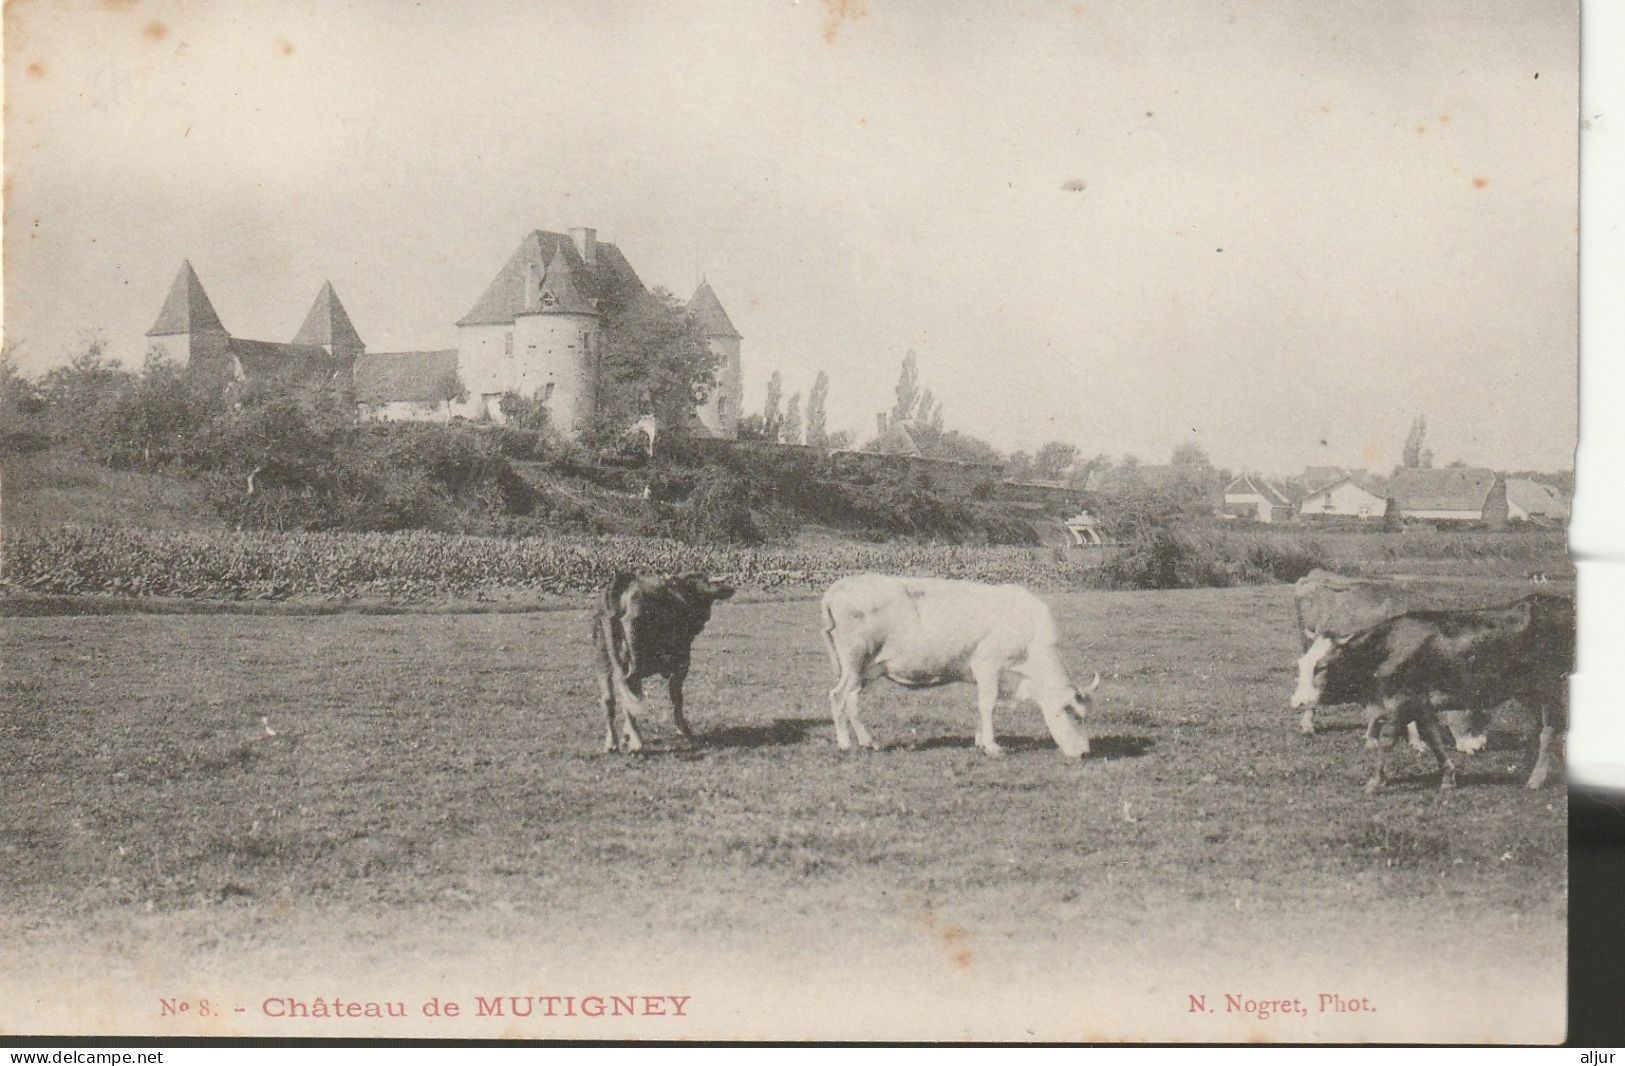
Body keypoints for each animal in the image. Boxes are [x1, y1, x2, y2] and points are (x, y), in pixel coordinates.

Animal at [594, 572, 734, 754]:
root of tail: (622, 581)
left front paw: (626, 735)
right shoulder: (682, 663)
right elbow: (677, 698)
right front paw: (685, 732)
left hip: (603, 657)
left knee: (609, 697)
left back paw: (613, 743)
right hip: (633, 658)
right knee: (627, 687)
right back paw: (637, 743)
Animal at [819, 575, 1098, 757]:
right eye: (1071, 712)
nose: (1085, 753)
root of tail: (838, 587)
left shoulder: (980, 673)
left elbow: (980, 705)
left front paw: (980, 741)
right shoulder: (989, 664)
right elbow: (988, 704)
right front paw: (993, 746)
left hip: (865, 668)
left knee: (852, 701)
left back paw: (868, 742)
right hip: (854, 659)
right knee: (837, 696)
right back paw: (844, 744)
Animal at [1287, 594, 1566, 796]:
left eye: (1322, 666)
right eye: (1302, 663)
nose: (1297, 702)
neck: (1388, 648)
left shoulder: (1402, 701)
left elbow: (1388, 740)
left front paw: (1375, 782)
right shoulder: (1421, 703)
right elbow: (1433, 738)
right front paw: (1448, 777)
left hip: (1549, 684)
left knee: (1549, 729)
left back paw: (1536, 778)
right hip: (1526, 691)